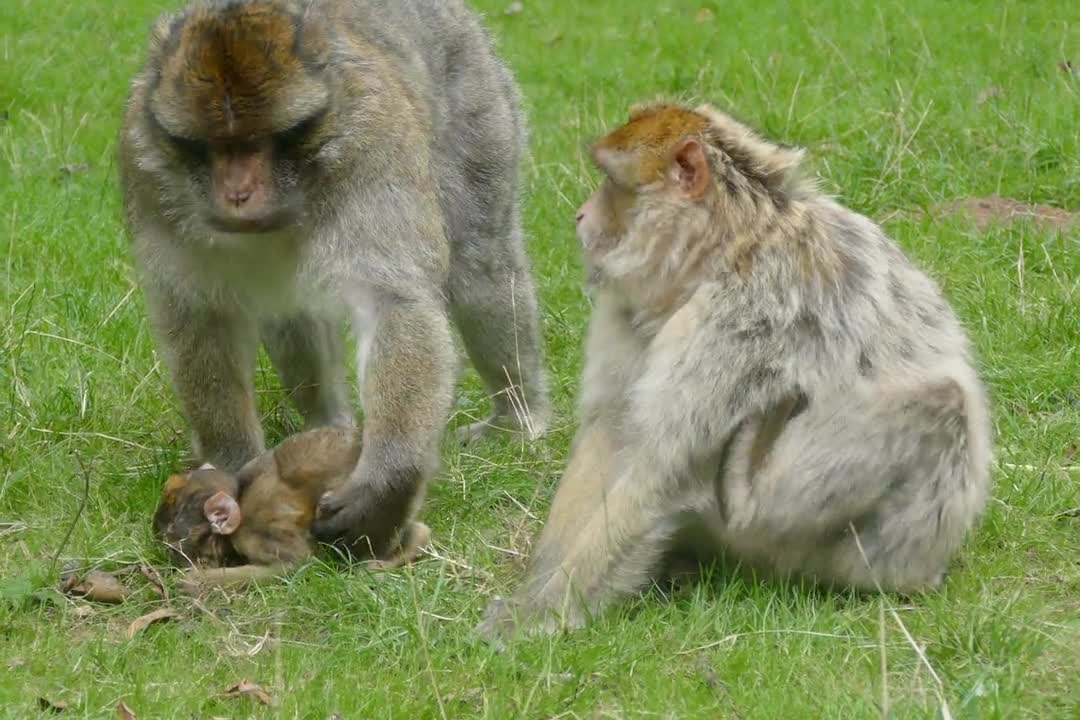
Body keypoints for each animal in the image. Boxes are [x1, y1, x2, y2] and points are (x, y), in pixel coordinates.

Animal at [120, 1, 548, 557]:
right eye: (213, 146)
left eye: (257, 143)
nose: (237, 193)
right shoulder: (147, 169)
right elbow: (200, 317)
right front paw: (230, 463)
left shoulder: (372, 146)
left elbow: (395, 303)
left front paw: (388, 480)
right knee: (290, 311)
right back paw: (328, 424)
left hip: (476, 95)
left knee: (480, 264)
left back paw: (519, 416)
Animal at [155, 423, 429, 591]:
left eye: (171, 537)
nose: (170, 555)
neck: (241, 496)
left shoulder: (258, 531)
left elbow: (297, 563)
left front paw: (196, 582)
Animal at [477, 101, 989, 643]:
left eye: (611, 182)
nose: (580, 215)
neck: (729, 249)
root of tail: (934, 563)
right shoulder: (629, 310)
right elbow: (611, 427)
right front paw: (536, 587)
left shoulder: (743, 319)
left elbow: (663, 471)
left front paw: (539, 614)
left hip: (871, 552)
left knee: (943, 406)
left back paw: (747, 491)